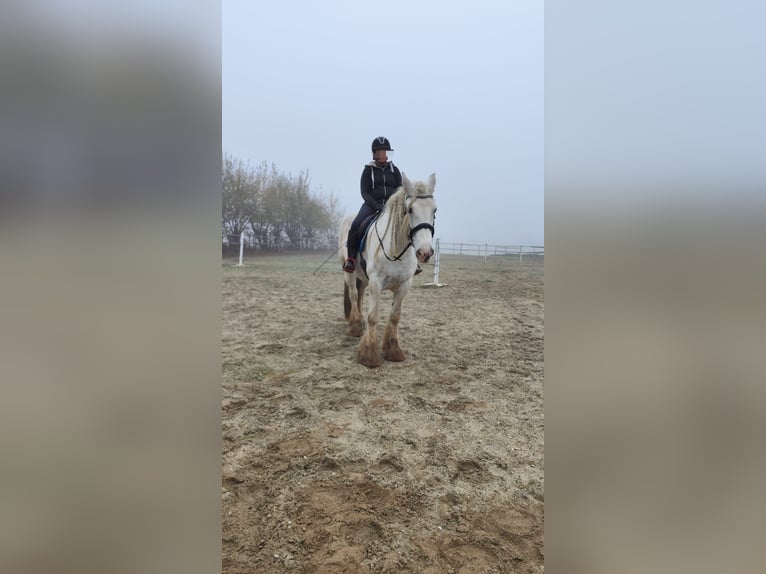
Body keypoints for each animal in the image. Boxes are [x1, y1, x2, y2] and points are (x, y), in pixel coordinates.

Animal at [340, 172, 440, 368]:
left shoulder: (404, 285)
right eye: (410, 209)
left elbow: (395, 316)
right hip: (350, 273)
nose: (424, 253)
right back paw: (355, 326)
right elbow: (373, 316)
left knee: (359, 295)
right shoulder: (376, 283)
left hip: (363, 279)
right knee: (354, 296)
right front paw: (369, 355)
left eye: (435, 210)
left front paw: (393, 350)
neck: (396, 250)